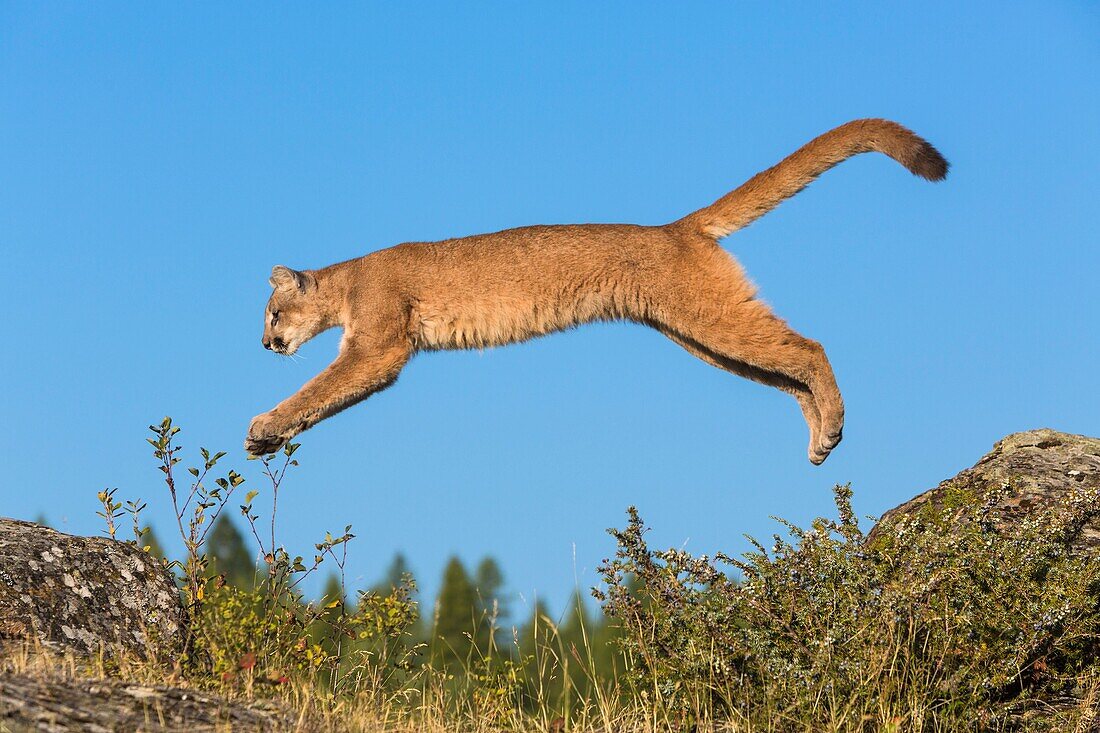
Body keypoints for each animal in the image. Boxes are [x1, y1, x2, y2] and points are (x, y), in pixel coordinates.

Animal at [247, 119, 946, 462]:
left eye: (274, 312)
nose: (264, 343)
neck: (348, 278)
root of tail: (676, 227)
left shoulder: (379, 346)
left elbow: (320, 387)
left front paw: (262, 426)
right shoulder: (377, 354)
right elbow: (327, 397)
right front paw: (270, 440)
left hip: (708, 317)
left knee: (810, 347)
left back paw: (832, 426)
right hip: (699, 334)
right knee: (785, 366)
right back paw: (821, 439)